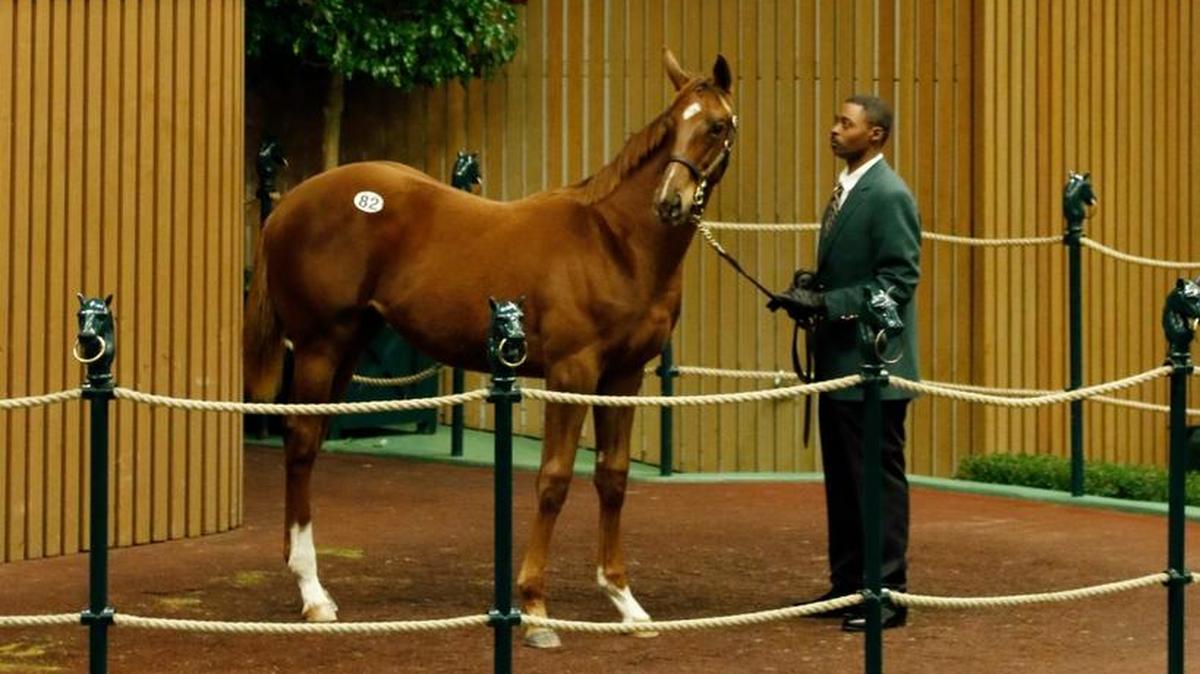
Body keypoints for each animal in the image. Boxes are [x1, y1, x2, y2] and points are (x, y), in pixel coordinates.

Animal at [243, 47, 737, 648]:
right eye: (673, 124)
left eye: (716, 125)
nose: (670, 202)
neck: (616, 243)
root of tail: (288, 204)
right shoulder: (573, 374)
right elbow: (554, 480)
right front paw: (537, 610)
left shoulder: (625, 377)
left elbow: (613, 478)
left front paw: (626, 603)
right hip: (319, 345)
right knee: (300, 444)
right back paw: (312, 594)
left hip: (348, 348)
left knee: (309, 441)